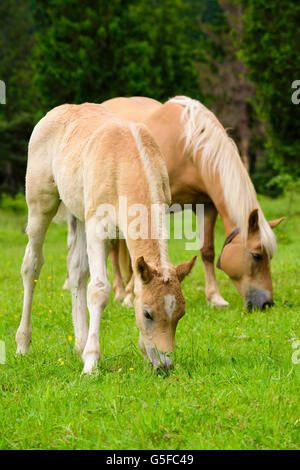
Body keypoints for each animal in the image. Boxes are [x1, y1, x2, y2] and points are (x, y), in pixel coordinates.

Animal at [15, 103, 195, 374]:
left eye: (180, 315)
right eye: (148, 314)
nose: (165, 365)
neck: (127, 163)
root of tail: (54, 112)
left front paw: (144, 351)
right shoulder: (98, 228)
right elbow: (99, 290)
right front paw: (91, 364)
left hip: (79, 213)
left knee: (76, 269)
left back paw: (79, 344)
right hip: (40, 204)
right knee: (31, 264)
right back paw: (23, 345)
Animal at [102, 96, 284, 310]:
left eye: (270, 256)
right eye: (256, 255)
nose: (266, 304)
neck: (188, 148)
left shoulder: (207, 206)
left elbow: (207, 251)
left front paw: (215, 298)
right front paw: (130, 296)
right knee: (113, 251)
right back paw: (120, 292)